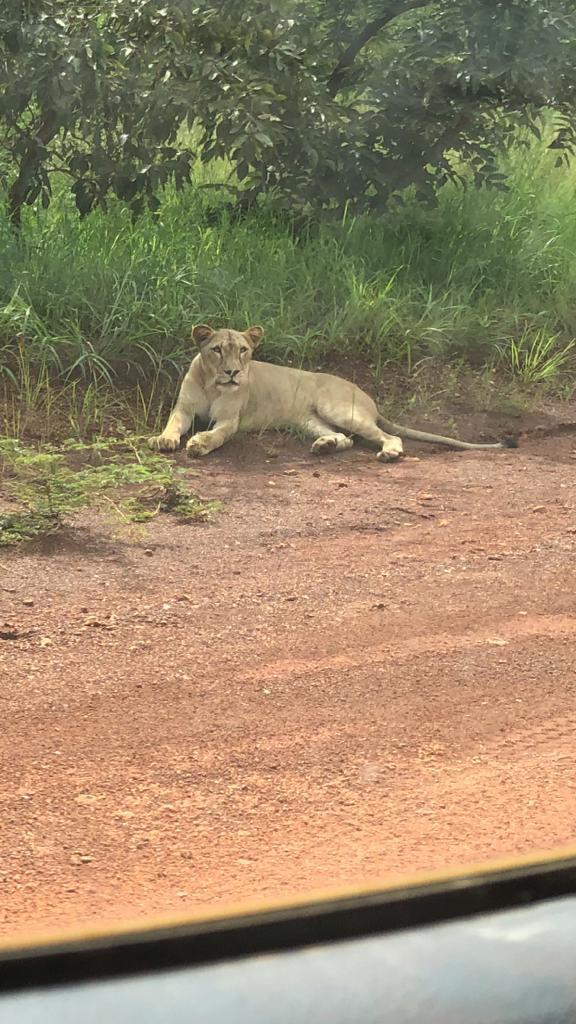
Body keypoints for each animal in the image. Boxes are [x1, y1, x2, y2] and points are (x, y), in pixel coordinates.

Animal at [148, 324, 517, 461]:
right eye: (216, 350)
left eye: (243, 350)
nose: (233, 372)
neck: (213, 385)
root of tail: (368, 396)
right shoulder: (184, 409)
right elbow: (173, 424)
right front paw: (164, 440)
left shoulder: (229, 419)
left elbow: (217, 435)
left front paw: (198, 444)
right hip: (310, 420)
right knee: (346, 439)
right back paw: (325, 446)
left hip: (338, 408)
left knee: (387, 436)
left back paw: (389, 452)